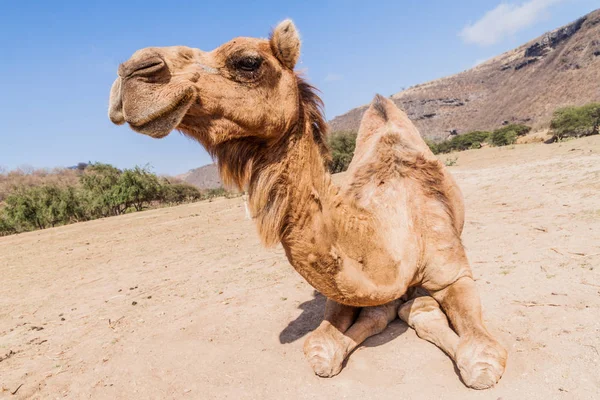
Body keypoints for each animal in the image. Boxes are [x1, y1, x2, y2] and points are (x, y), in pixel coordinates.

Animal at [108, 20, 506, 390]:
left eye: (248, 61)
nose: (132, 71)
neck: (392, 228)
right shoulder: (347, 284)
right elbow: (323, 345)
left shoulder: (454, 271)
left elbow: (482, 359)